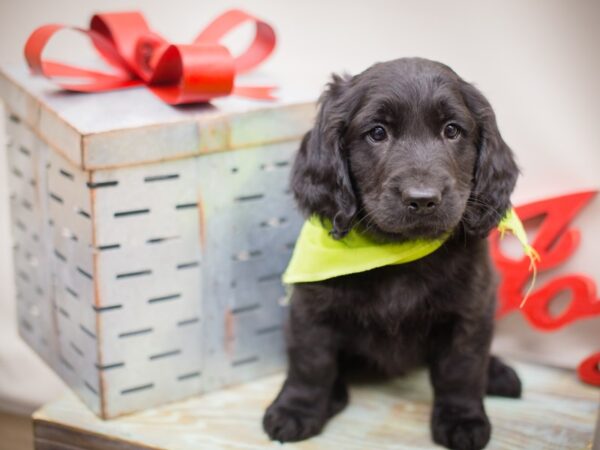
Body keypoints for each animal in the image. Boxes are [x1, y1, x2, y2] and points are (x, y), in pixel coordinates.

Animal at [262, 58, 520, 448]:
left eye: (452, 130)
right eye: (377, 133)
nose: (423, 199)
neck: (397, 253)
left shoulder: (470, 309)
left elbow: (461, 368)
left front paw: (462, 419)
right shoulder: (311, 309)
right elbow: (310, 363)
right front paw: (296, 409)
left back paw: (498, 373)